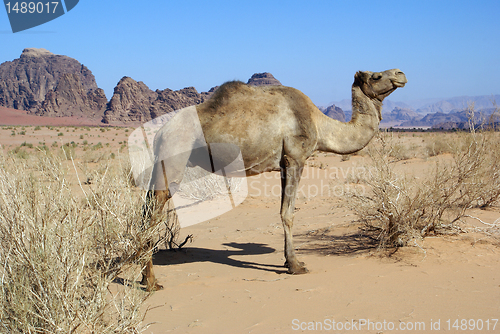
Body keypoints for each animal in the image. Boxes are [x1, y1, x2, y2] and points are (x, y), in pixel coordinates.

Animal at [140, 68, 406, 290]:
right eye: (376, 76)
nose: (400, 73)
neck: (319, 125)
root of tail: (160, 133)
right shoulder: (295, 158)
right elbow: (288, 213)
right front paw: (296, 265)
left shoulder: (283, 164)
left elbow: (283, 209)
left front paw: (288, 261)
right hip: (173, 157)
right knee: (152, 214)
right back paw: (152, 282)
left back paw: (144, 275)